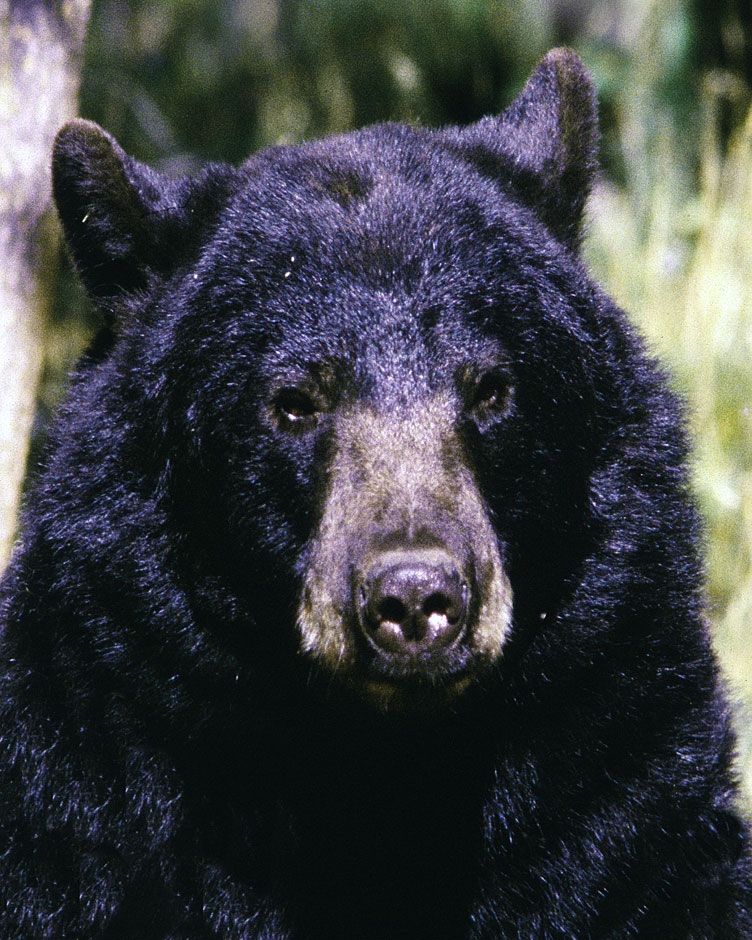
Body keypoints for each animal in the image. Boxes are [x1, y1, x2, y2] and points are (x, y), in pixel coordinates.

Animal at [1, 49, 752, 940]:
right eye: (295, 401)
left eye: (491, 389)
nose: (416, 599)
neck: (387, 771)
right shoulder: (95, 820)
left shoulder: (631, 819)